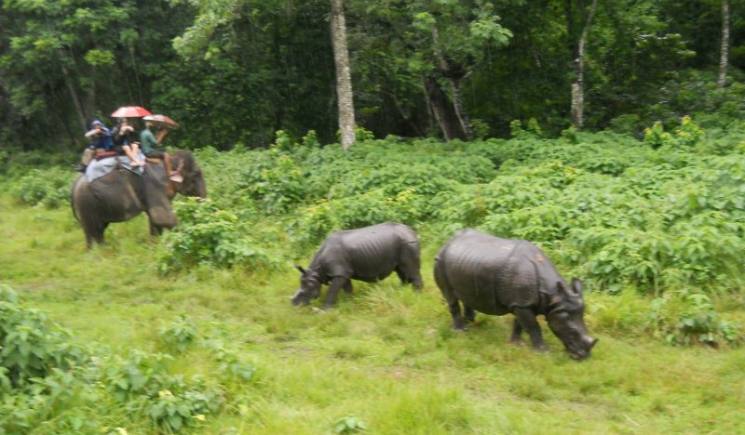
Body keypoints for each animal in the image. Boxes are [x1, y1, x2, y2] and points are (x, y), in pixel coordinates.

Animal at [71, 151, 205, 249]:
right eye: (196, 174)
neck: (169, 161)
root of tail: (74, 185)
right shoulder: (154, 185)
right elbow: (161, 217)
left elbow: (155, 219)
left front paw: (155, 245)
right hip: (86, 204)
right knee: (93, 230)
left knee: (98, 230)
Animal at [434, 230, 596, 360]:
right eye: (570, 329)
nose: (583, 357)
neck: (553, 296)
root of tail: (447, 242)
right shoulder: (522, 303)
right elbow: (533, 326)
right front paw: (543, 352)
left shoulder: (522, 302)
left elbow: (520, 324)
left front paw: (516, 344)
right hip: (440, 261)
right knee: (451, 297)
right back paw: (460, 331)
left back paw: (470, 322)